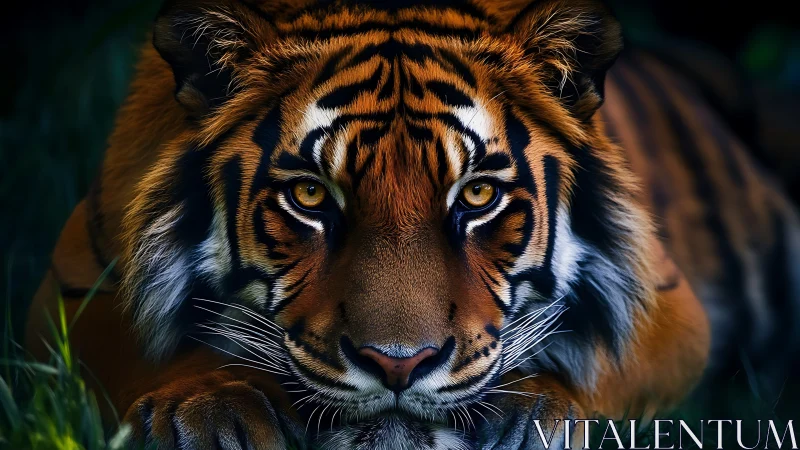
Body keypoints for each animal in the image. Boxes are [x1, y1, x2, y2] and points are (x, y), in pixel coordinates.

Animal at [23, 0, 800, 449]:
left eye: (478, 195)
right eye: (309, 195)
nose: (399, 363)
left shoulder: (669, 301)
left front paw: (536, 412)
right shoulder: (74, 280)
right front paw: (210, 410)